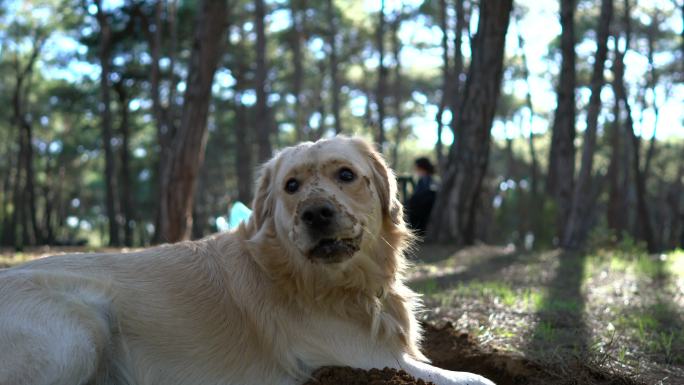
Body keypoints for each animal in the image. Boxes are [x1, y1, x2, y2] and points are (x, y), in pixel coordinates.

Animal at [0, 136, 492, 382]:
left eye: (346, 175)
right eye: (291, 186)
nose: (316, 213)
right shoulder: (371, 359)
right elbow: (478, 379)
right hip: (81, 327)